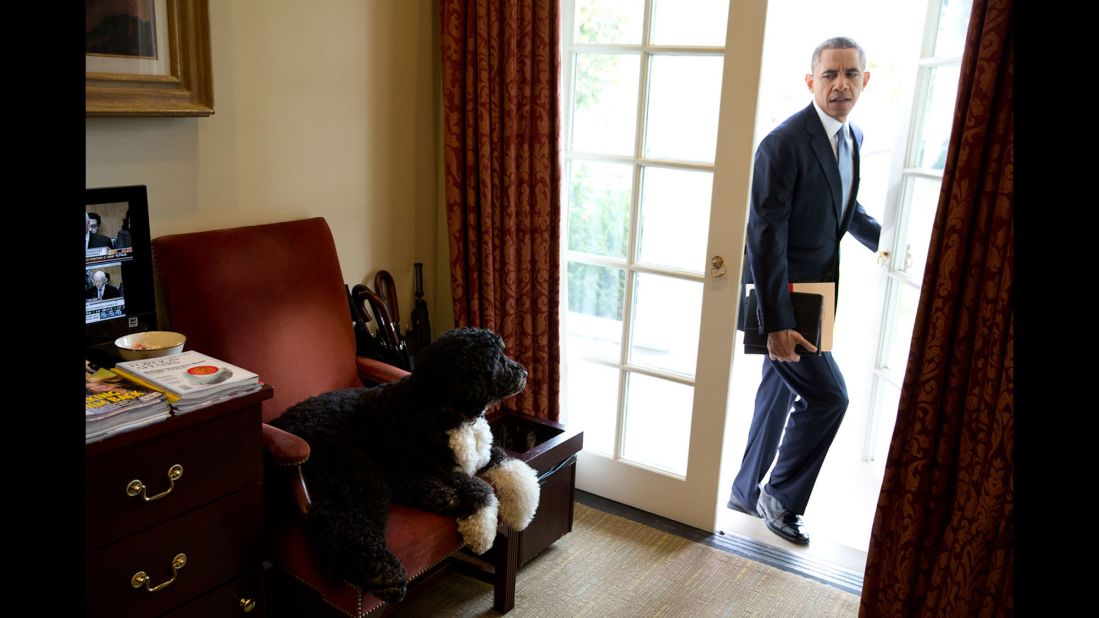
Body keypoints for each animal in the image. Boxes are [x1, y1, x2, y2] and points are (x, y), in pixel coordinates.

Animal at [268, 327, 538, 602]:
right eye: (496, 358)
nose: (525, 373)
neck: (442, 407)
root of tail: (281, 424)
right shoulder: (416, 467)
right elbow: (479, 487)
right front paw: (481, 532)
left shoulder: (482, 455)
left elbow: (514, 467)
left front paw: (520, 512)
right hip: (356, 473)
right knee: (342, 522)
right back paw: (384, 574)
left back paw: (444, 498)